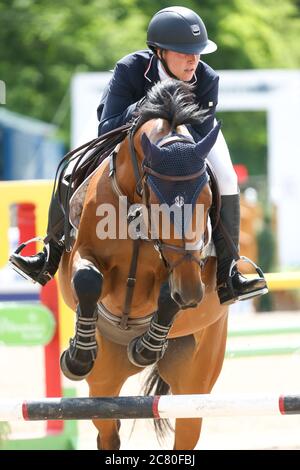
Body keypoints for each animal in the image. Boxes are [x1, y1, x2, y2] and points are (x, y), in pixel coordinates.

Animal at [58, 79, 227, 450]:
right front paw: (77, 356)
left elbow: (165, 297)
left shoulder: (183, 269)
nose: (191, 294)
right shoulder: (83, 254)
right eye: (159, 201)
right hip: (103, 382)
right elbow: (89, 280)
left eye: (208, 199)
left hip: (194, 387)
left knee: (185, 430)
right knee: (108, 426)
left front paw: (146, 348)